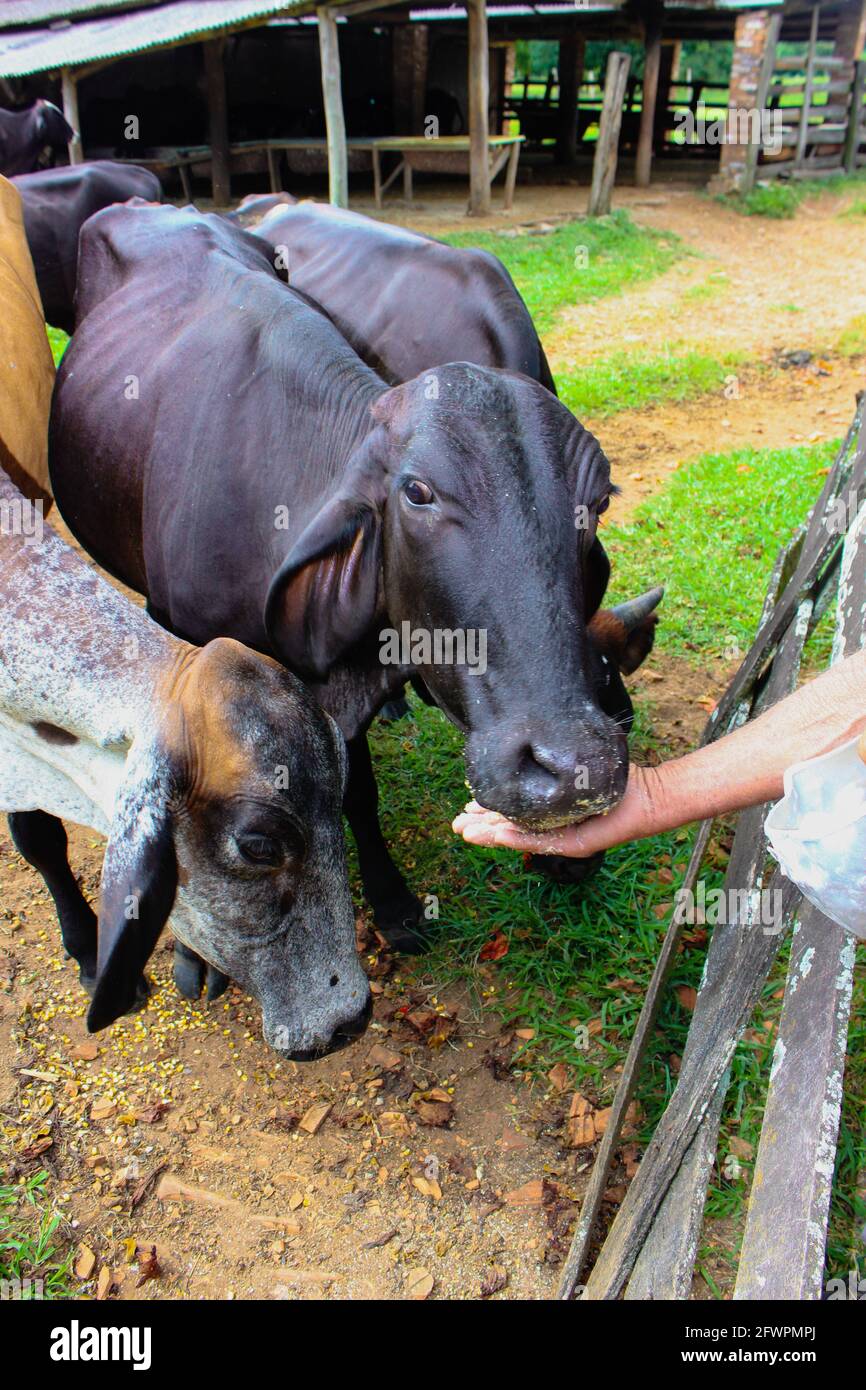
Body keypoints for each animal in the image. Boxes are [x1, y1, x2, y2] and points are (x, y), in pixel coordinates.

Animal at [48, 201, 664, 989]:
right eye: (418, 493)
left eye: (601, 497)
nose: (572, 772)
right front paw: (195, 956)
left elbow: (356, 790)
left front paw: (394, 903)